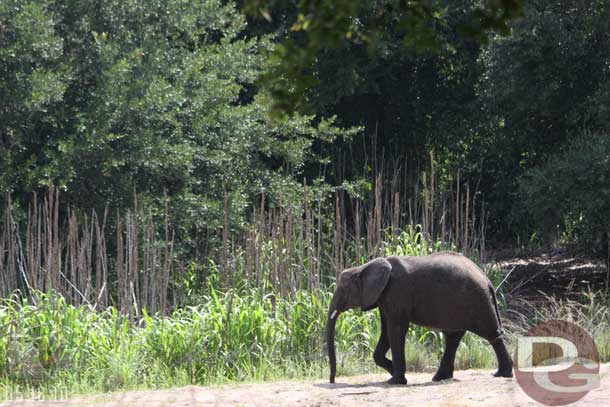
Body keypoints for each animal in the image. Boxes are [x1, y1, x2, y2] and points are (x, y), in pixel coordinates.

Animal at [326, 252, 510, 386]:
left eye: (343, 289)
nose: (332, 381)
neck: (363, 267)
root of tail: (486, 279)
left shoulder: (397, 293)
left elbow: (395, 329)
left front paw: (396, 381)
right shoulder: (384, 298)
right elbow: (386, 331)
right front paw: (394, 374)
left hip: (477, 301)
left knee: (491, 334)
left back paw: (501, 374)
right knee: (453, 337)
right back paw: (439, 378)